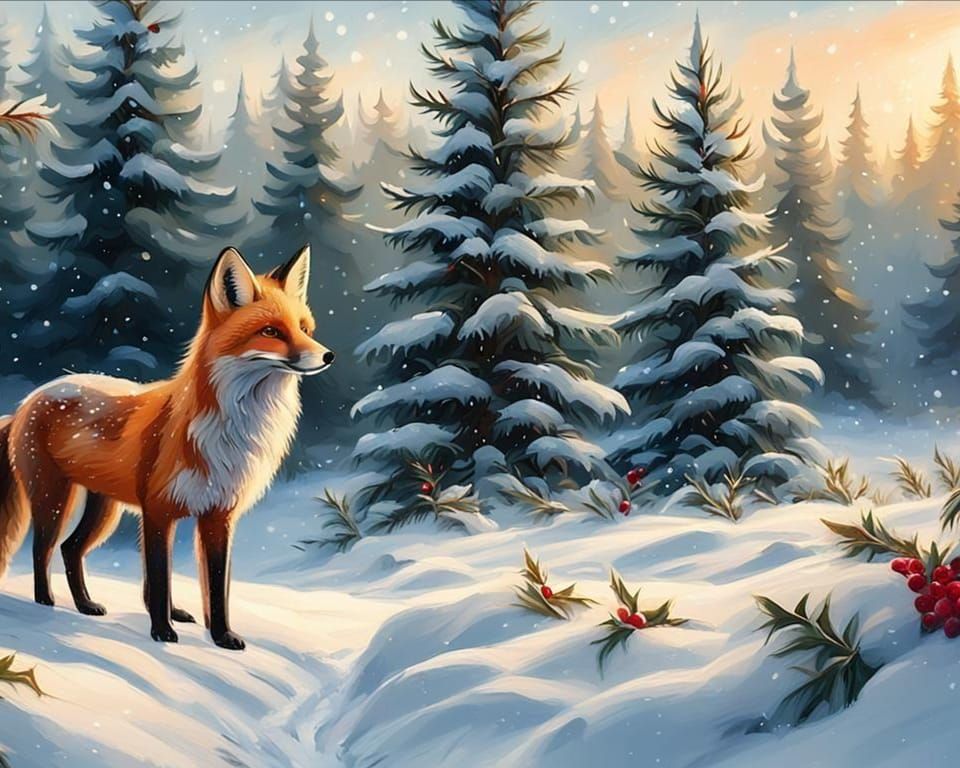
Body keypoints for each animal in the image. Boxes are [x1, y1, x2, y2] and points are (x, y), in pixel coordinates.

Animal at [0, 245, 333, 650]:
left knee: (70, 549)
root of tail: (30, 399)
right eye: (271, 331)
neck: (231, 431)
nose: (328, 355)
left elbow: (216, 587)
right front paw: (162, 631)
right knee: (41, 549)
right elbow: (159, 579)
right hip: (54, 500)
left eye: (304, 329)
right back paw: (45, 603)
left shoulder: (219, 516)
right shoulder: (157, 511)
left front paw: (221, 636)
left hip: (104, 509)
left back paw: (85, 605)